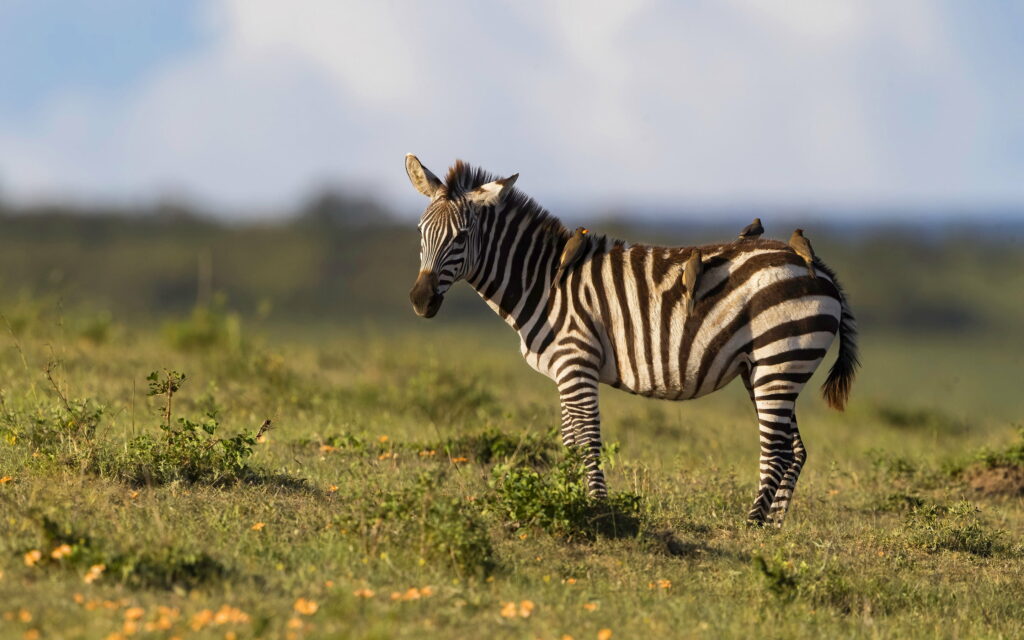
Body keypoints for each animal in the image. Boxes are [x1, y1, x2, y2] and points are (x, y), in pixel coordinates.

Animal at [405, 154, 859, 527]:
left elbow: (587, 442)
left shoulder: (576, 363)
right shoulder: (563, 372)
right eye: (420, 231)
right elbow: (571, 443)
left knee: (778, 450)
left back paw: (751, 524)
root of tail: (815, 266)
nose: (421, 301)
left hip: (779, 361)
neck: (543, 281)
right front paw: (573, 500)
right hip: (768, 369)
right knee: (795, 449)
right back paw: (772, 529)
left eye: (462, 236)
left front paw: (597, 510)